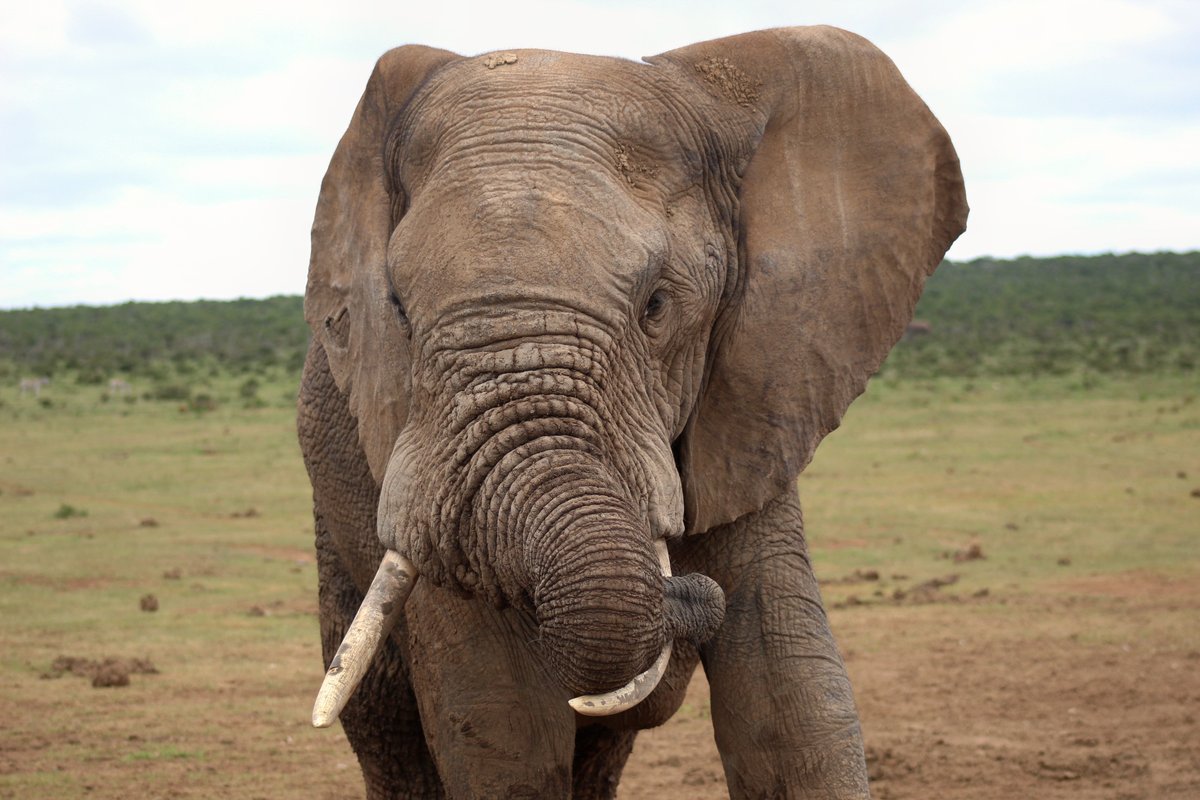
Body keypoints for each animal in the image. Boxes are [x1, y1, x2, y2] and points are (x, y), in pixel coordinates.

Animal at [297, 25, 964, 800]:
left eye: (657, 306)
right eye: (399, 311)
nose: (689, 593)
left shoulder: (754, 395)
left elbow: (790, 692)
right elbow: (502, 721)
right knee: (387, 725)